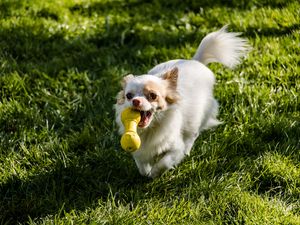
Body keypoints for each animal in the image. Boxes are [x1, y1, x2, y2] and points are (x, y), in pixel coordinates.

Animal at [113, 25, 250, 178]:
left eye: (153, 95)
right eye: (129, 96)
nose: (135, 101)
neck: (150, 129)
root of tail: (195, 61)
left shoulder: (175, 147)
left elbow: (164, 162)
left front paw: (154, 173)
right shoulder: (140, 151)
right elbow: (141, 166)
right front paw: (147, 172)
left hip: (197, 119)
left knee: (192, 135)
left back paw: (187, 151)